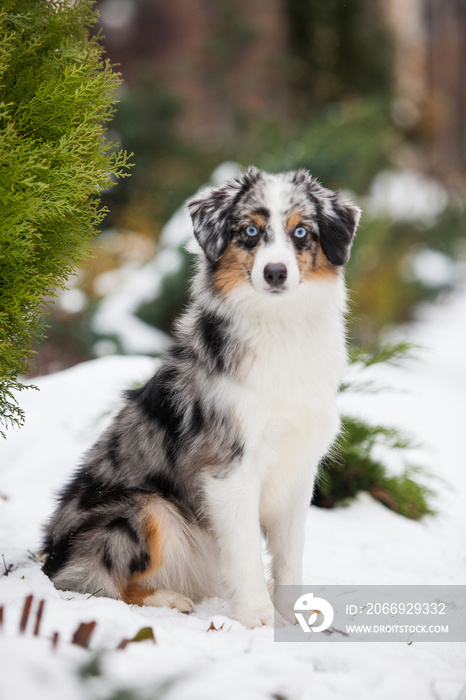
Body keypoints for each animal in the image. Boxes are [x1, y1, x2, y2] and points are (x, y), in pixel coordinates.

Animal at [41, 165, 360, 628]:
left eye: (301, 232)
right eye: (249, 230)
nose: (275, 273)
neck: (279, 325)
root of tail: (50, 557)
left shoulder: (299, 467)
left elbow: (289, 552)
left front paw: (293, 615)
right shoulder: (229, 467)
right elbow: (245, 550)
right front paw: (257, 616)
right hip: (143, 508)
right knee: (101, 582)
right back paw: (169, 599)